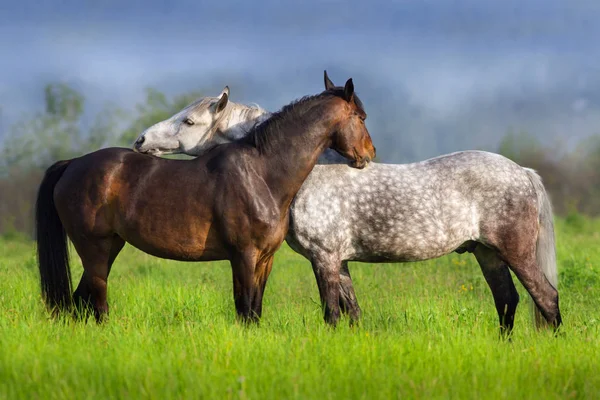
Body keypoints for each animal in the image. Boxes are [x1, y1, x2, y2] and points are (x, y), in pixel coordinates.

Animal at [36, 76, 376, 324]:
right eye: (361, 117)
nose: (368, 154)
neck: (261, 172)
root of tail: (73, 164)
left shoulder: (265, 259)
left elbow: (254, 311)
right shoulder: (244, 256)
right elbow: (246, 311)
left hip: (109, 247)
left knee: (81, 302)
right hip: (94, 249)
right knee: (97, 305)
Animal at [135, 72, 564, 334]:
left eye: (189, 122)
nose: (140, 140)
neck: (306, 174)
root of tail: (523, 172)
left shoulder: (324, 258)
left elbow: (332, 314)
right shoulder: (339, 262)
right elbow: (353, 314)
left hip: (515, 252)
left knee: (545, 297)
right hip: (487, 253)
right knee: (507, 301)